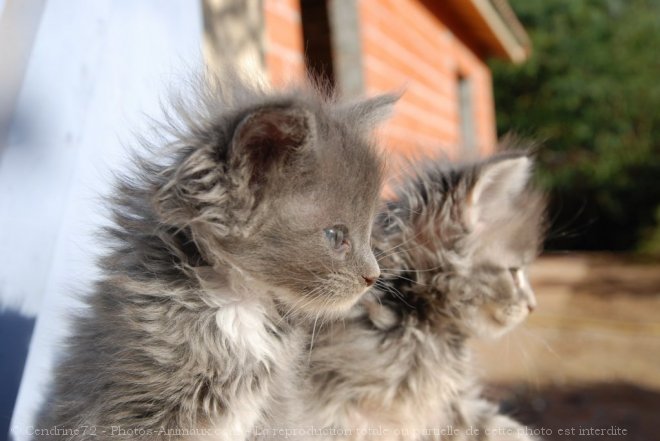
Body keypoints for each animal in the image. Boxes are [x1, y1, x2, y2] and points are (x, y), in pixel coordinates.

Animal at [32, 73, 398, 440]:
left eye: (369, 234)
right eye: (336, 236)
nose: (373, 276)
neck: (241, 303)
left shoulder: (276, 411)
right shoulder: (130, 406)